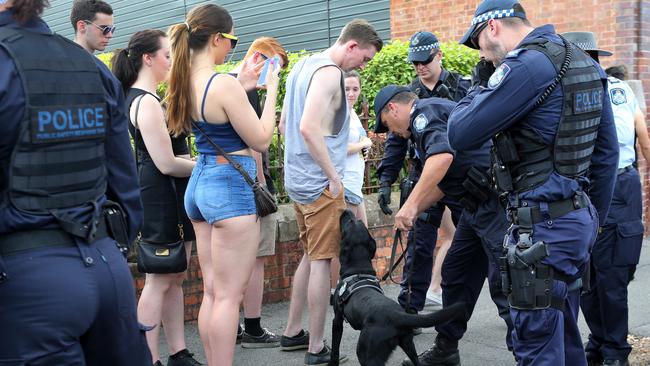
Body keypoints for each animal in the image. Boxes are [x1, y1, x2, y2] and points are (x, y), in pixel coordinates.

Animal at [332, 209, 464, 366]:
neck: (358, 269)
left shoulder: (337, 320)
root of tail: (397, 315)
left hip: (367, 353)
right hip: (408, 344)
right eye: (357, 221)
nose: (346, 210)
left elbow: (335, 350)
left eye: (351, 221)